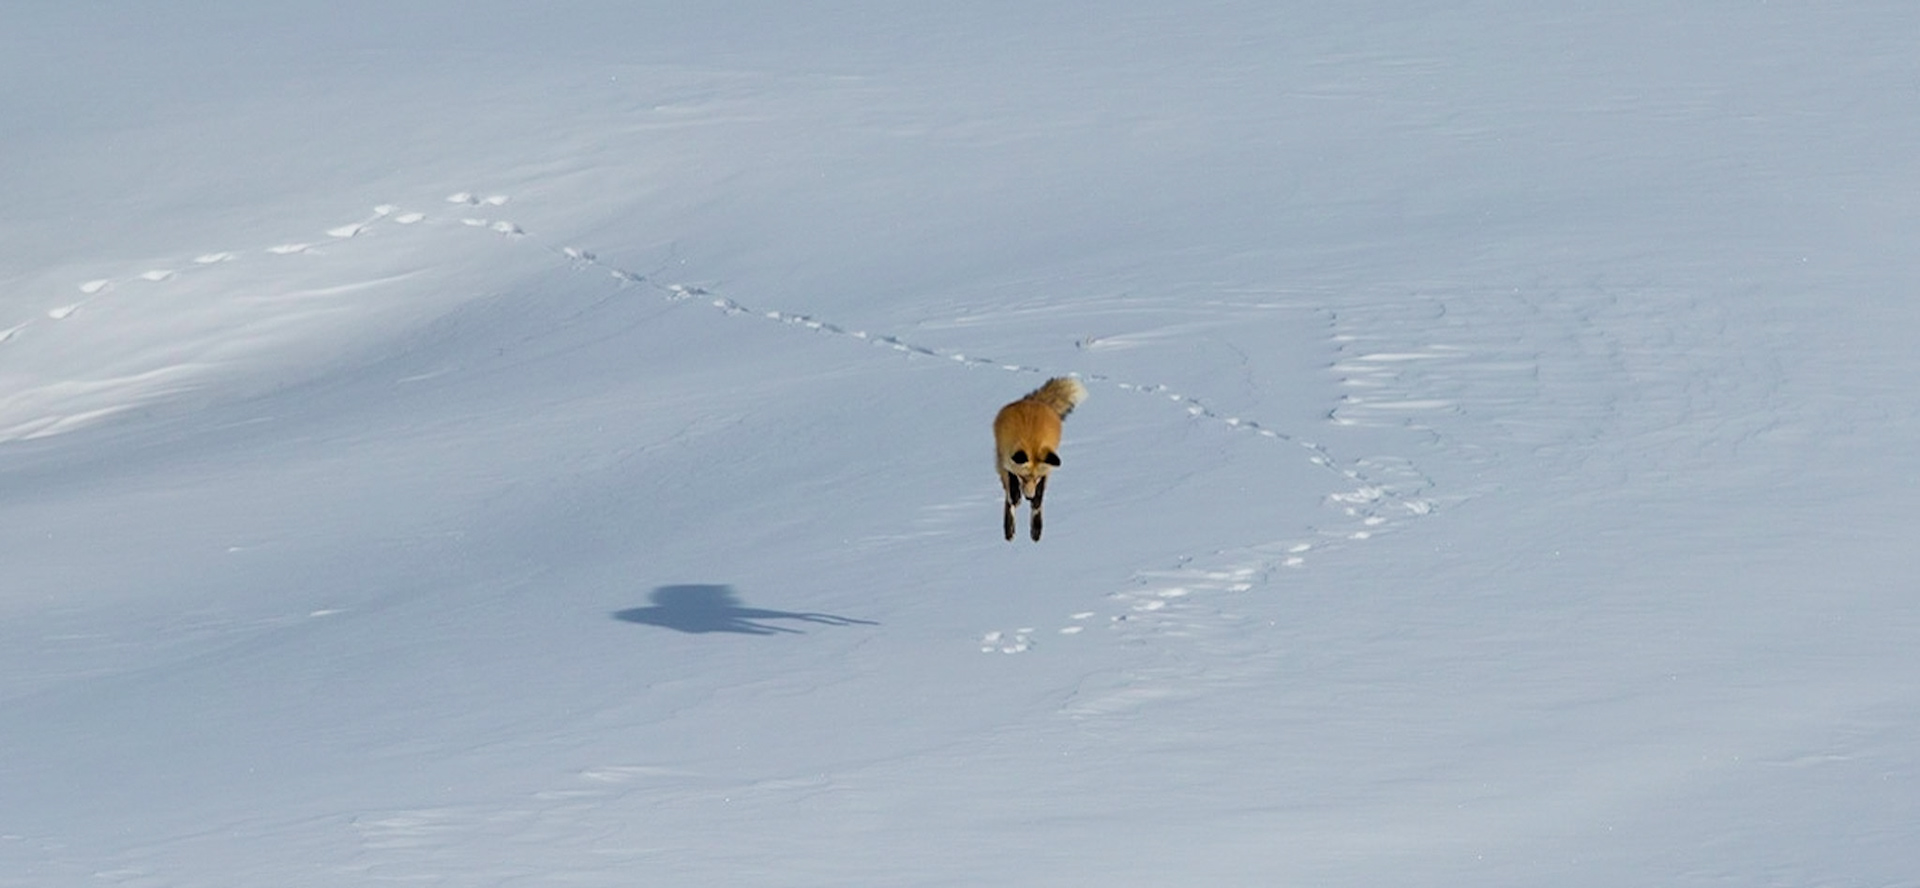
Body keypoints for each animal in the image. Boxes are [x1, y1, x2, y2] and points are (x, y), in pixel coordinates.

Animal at [993, 376, 1087, 541]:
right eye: (1023, 477)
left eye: (1036, 478)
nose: (1028, 497)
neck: (1032, 440)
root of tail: (1033, 401)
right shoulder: (1005, 460)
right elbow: (1012, 489)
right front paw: (1016, 499)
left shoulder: (1045, 471)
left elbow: (1039, 500)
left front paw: (1036, 526)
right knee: (1008, 498)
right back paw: (1010, 528)